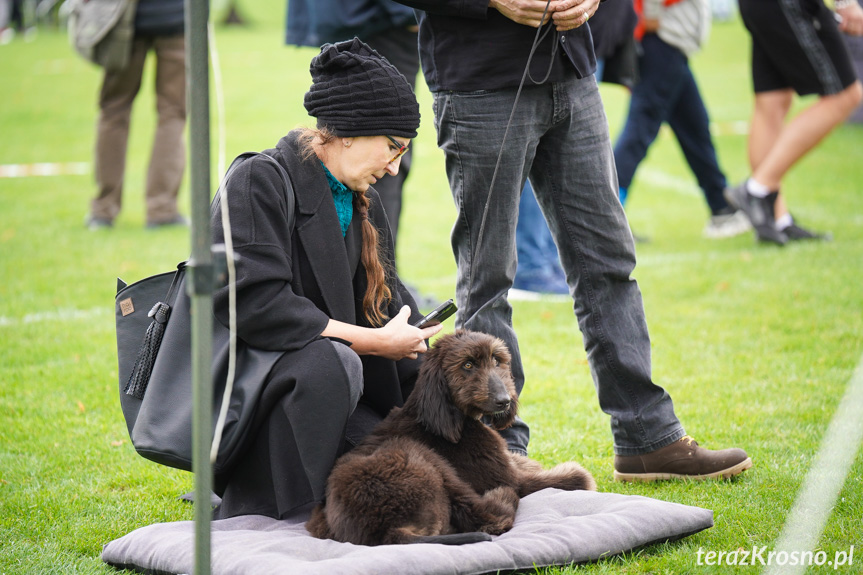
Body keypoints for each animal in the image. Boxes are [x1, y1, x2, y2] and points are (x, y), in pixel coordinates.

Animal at [308, 330, 596, 548]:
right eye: (467, 365)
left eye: (497, 360)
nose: (504, 401)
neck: (450, 417)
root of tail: (386, 532)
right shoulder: (509, 477)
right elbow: (572, 478)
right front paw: (575, 474)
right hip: (421, 459)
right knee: (490, 518)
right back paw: (502, 497)